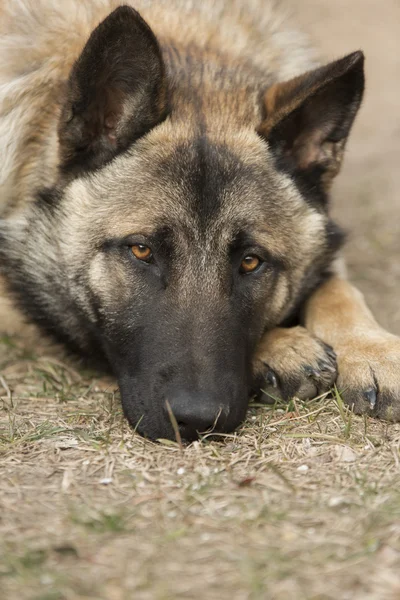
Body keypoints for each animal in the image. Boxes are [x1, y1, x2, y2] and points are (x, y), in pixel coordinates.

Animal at [0, 0, 400, 440]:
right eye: (141, 250)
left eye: (251, 261)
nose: (197, 420)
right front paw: (283, 347)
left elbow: (338, 287)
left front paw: (372, 348)